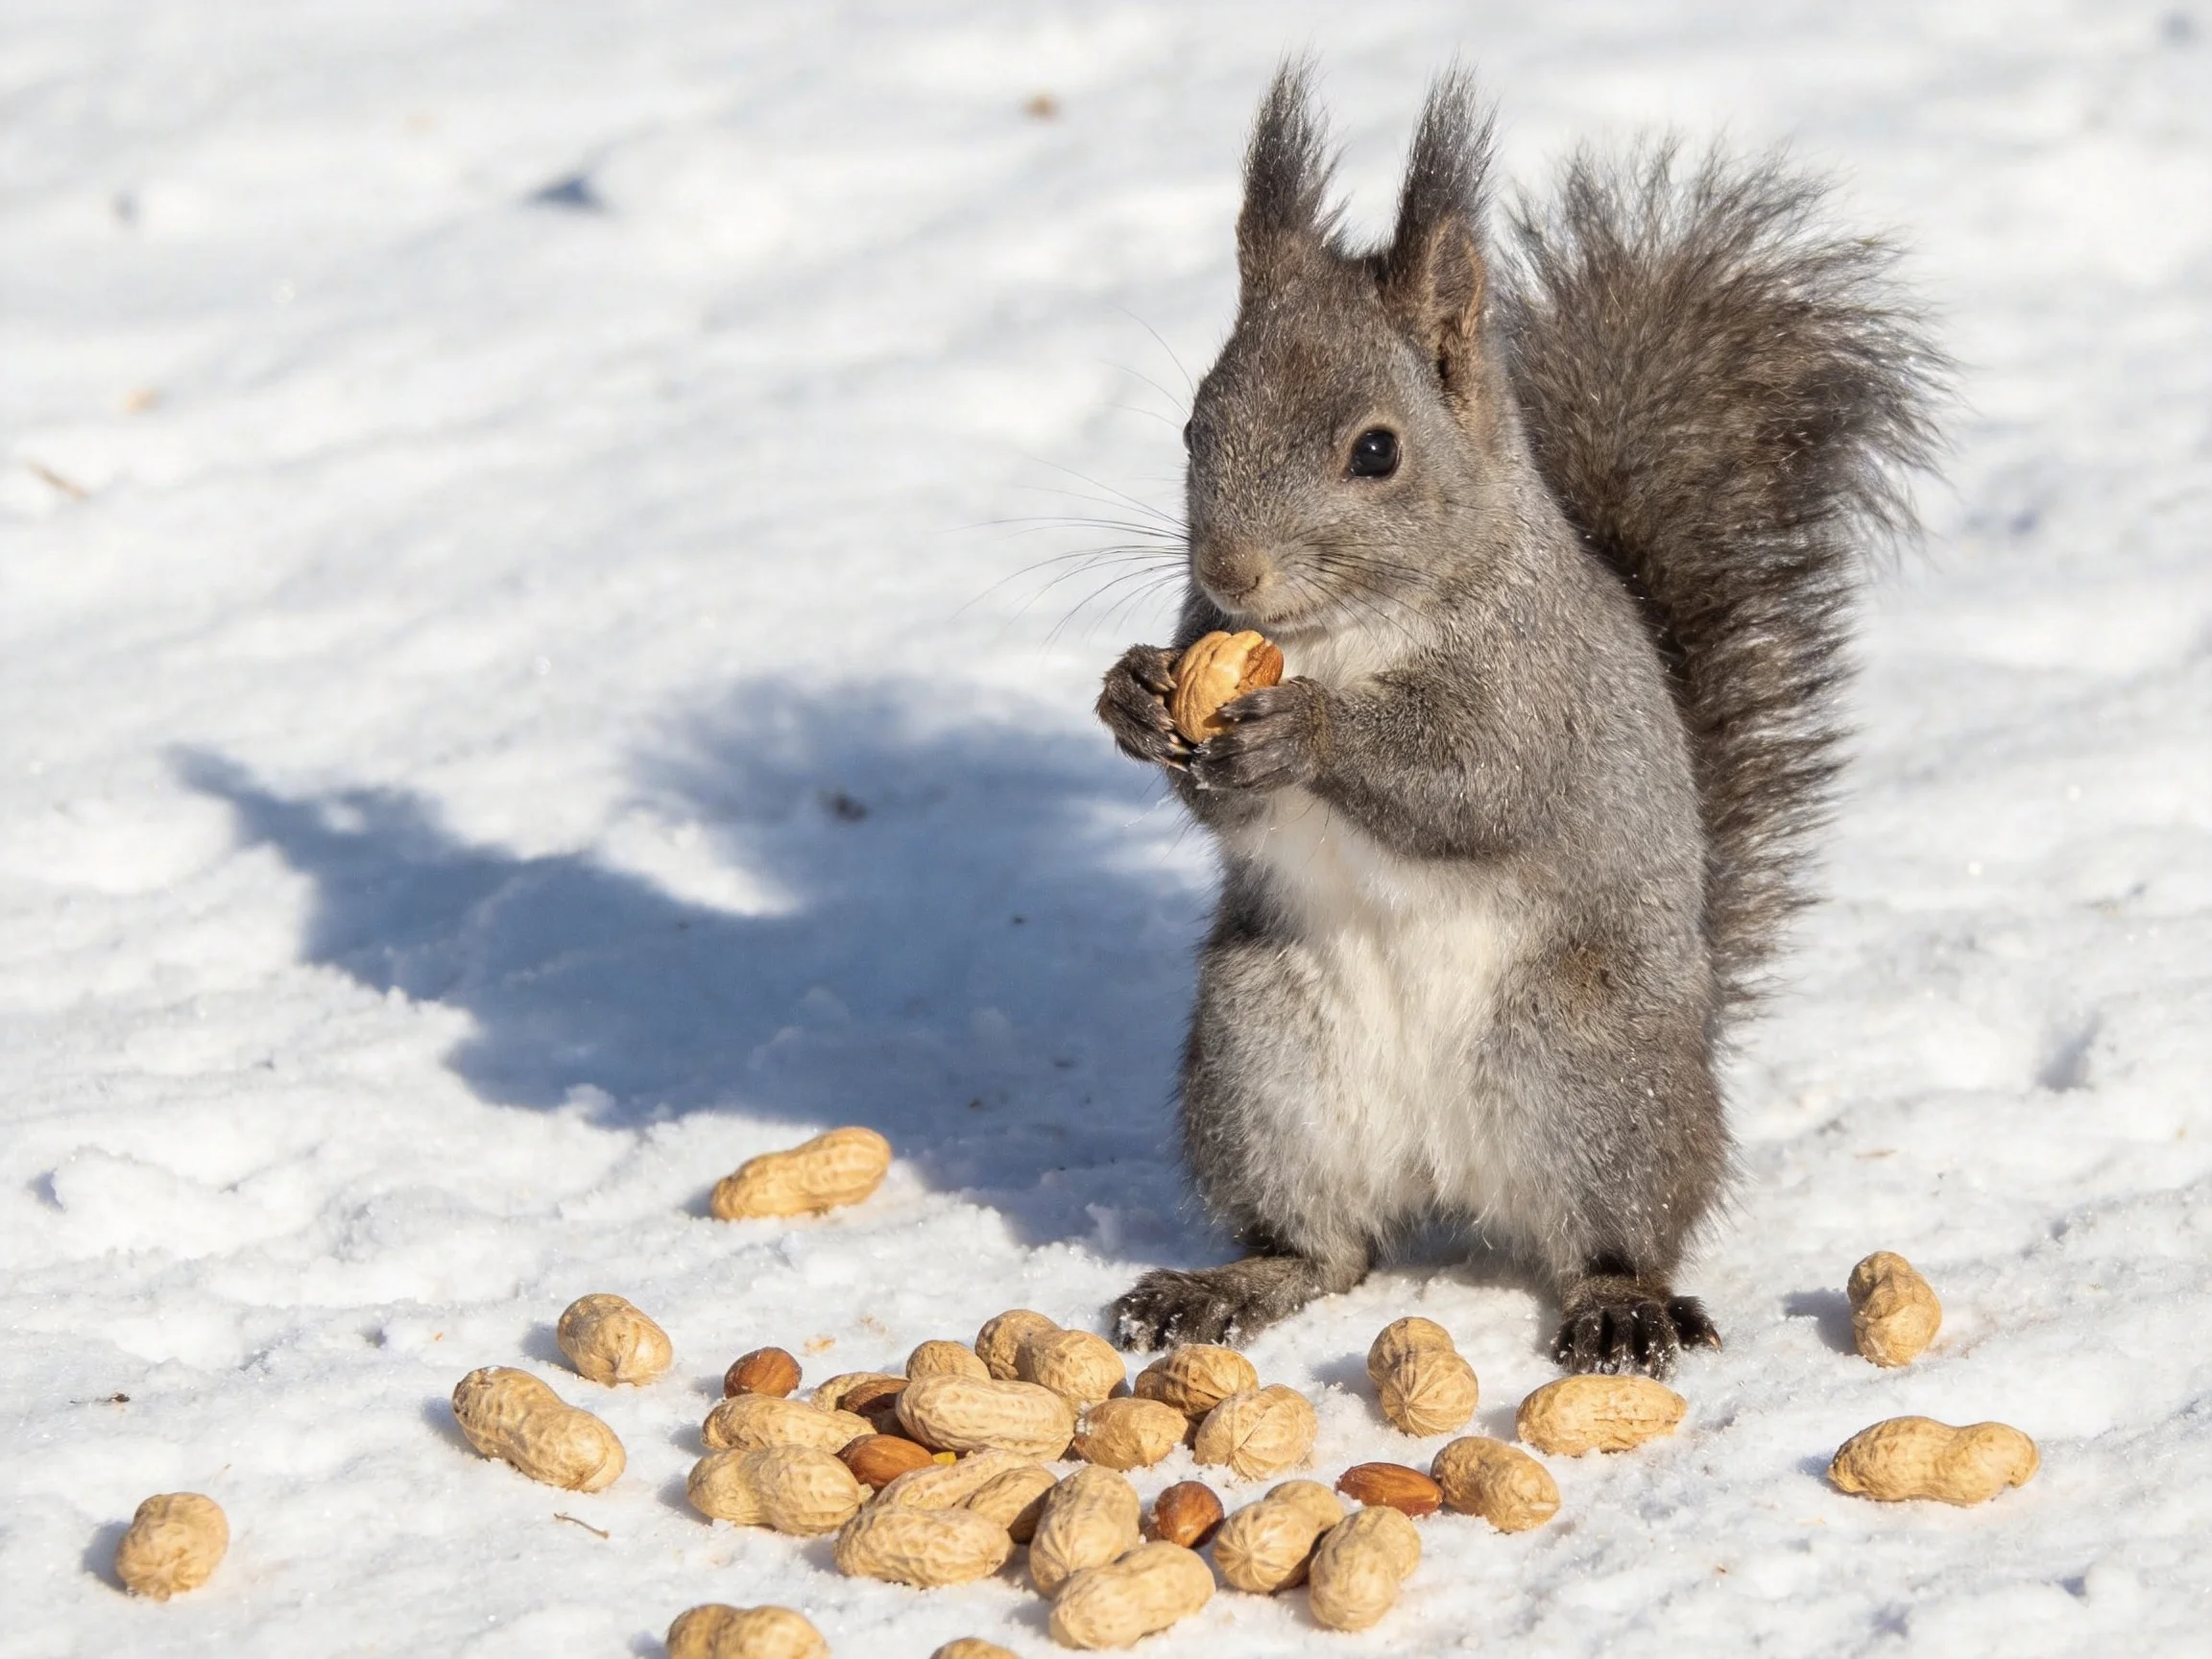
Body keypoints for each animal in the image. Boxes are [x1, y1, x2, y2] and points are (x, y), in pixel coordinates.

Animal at [1094, 65, 1940, 1376]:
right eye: (1194, 427)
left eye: (1376, 451)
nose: (1230, 570)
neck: (1344, 634)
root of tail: (1445, 1177)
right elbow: (1212, 793)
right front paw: (1134, 697)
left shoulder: (1539, 700)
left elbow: (1474, 787)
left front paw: (1312, 736)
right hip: (1263, 1062)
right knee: (1328, 1251)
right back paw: (1227, 1286)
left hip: (1586, 1070)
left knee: (1614, 1231)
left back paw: (1620, 1307)